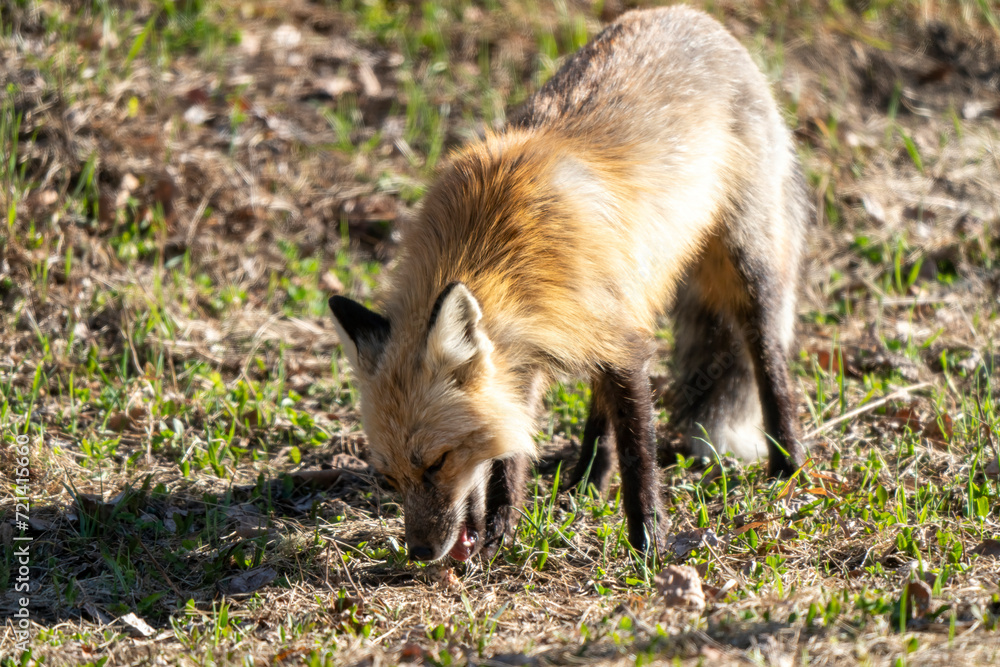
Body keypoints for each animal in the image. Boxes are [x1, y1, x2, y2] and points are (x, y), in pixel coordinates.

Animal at [328, 5, 808, 563]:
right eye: (389, 479)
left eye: (439, 460)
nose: (423, 553)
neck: (497, 246)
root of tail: (690, 14)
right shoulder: (534, 350)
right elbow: (511, 454)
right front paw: (500, 530)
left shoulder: (625, 346)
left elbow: (639, 455)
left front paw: (648, 541)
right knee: (601, 405)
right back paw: (587, 479)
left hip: (745, 269)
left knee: (767, 358)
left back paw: (787, 462)